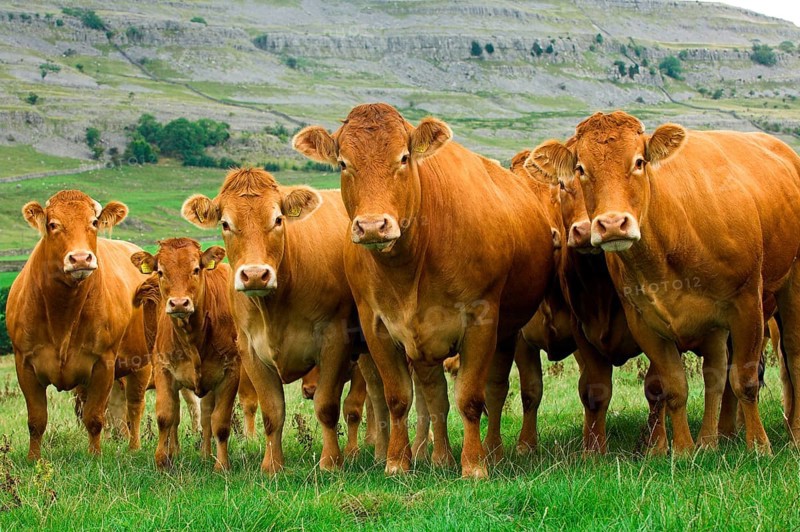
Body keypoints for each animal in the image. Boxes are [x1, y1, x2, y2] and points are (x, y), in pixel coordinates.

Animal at [6, 190, 152, 459]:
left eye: (93, 222)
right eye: (53, 225)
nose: (81, 258)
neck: (62, 312)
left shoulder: (104, 363)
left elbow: (95, 417)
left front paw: (94, 456)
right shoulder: (24, 364)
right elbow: (36, 420)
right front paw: (34, 459)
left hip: (142, 362)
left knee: (135, 407)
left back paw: (134, 447)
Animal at [131, 238, 240, 470]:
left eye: (196, 269)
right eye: (161, 271)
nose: (179, 303)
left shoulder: (231, 372)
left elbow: (220, 422)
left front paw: (221, 465)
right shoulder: (163, 369)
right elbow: (166, 416)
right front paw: (162, 461)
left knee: (206, 416)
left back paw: (206, 455)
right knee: (177, 417)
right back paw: (175, 452)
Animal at [182, 168, 390, 473]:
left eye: (278, 219)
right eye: (225, 223)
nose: (255, 275)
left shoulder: (334, 341)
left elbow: (326, 406)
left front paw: (331, 461)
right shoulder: (249, 350)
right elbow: (272, 412)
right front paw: (272, 465)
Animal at [292, 103, 554, 478]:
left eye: (403, 158)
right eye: (343, 163)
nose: (372, 225)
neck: (409, 267)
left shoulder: (482, 320)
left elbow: (471, 398)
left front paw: (474, 465)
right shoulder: (377, 327)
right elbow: (400, 399)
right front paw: (397, 462)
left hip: (506, 332)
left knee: (494, 390)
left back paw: (492, 451)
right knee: (435, 397)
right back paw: (440, 456)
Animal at [532, 111, 800, 453]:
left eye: (639, 162)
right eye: (580, 169)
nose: (612, 224)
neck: (673, 234)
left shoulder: (747, 305)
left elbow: (745, 380)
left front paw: (759, 446)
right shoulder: (645, 323)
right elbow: (673, 387)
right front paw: (684, 450)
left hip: (791, 286)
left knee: (792, 357)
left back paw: (793, 433)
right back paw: (716, 437)